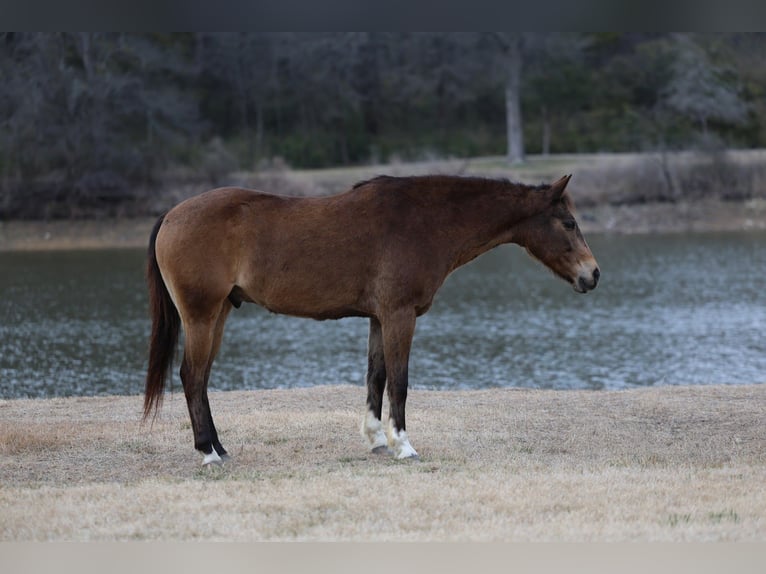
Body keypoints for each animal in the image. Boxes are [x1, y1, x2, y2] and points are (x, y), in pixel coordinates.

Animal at [144, 174, 599, 465]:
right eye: (569, 223)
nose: (593, 274)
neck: (424, 220)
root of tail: (172, 214)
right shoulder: (400, 315)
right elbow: (399, 381)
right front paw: (404, 446)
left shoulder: (379, 319)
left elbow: (375, 377)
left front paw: (377, 440)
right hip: (202, 315)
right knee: (192, 377)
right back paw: (207, 453)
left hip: (218, 313)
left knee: (200, 380)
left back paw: (219, 448)